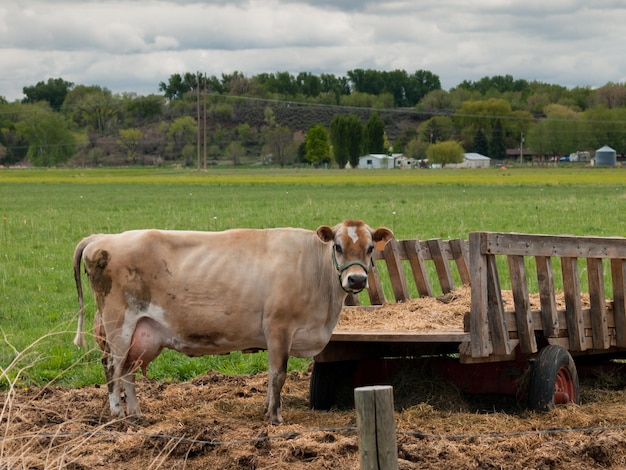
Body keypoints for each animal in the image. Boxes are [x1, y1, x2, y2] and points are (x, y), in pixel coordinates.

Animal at [74, 219, 390, 422]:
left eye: (370, 248)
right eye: (337, 246)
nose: (356, 279)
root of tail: (102, 238)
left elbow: (271, 376)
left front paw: (266, 410)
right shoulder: (278, 328)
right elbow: (278, 375)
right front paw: (275, 417)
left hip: (142, 334)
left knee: (127, 372)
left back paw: (137, 415)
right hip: (118, 326)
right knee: (112, 368)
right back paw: (118, 415)